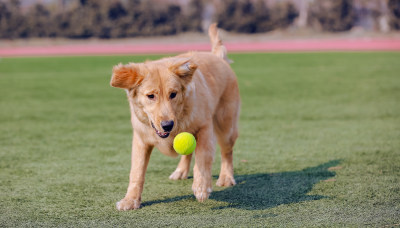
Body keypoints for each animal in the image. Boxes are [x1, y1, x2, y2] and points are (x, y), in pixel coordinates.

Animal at [109, 24, 239, 211]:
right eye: (151, 96)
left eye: (173, 94)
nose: (168, 125)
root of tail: (216, 56)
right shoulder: (141, 139)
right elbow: (137, 172)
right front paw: (131, 200)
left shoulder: (205, 127)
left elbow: (203, 158)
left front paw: (201, 186)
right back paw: (181, 171)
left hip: (225, 123)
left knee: (227, 151)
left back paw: (226, 177)